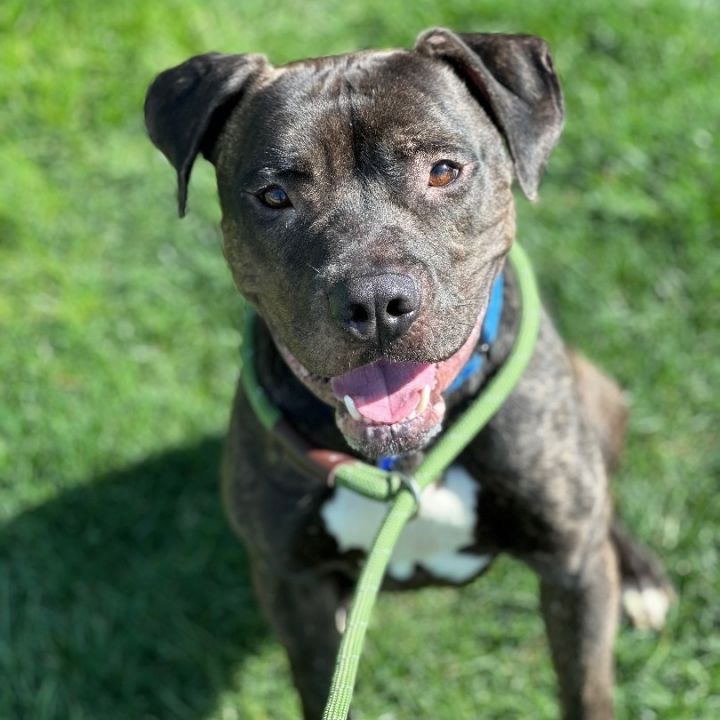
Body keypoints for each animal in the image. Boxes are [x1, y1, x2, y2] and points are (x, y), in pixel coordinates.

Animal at [146, 29, 676, 720]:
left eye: (443, 170)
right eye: (274, 196)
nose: (375, 301)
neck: (405, 462)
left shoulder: (572, 573)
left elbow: (586, 689)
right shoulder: (290, 586)